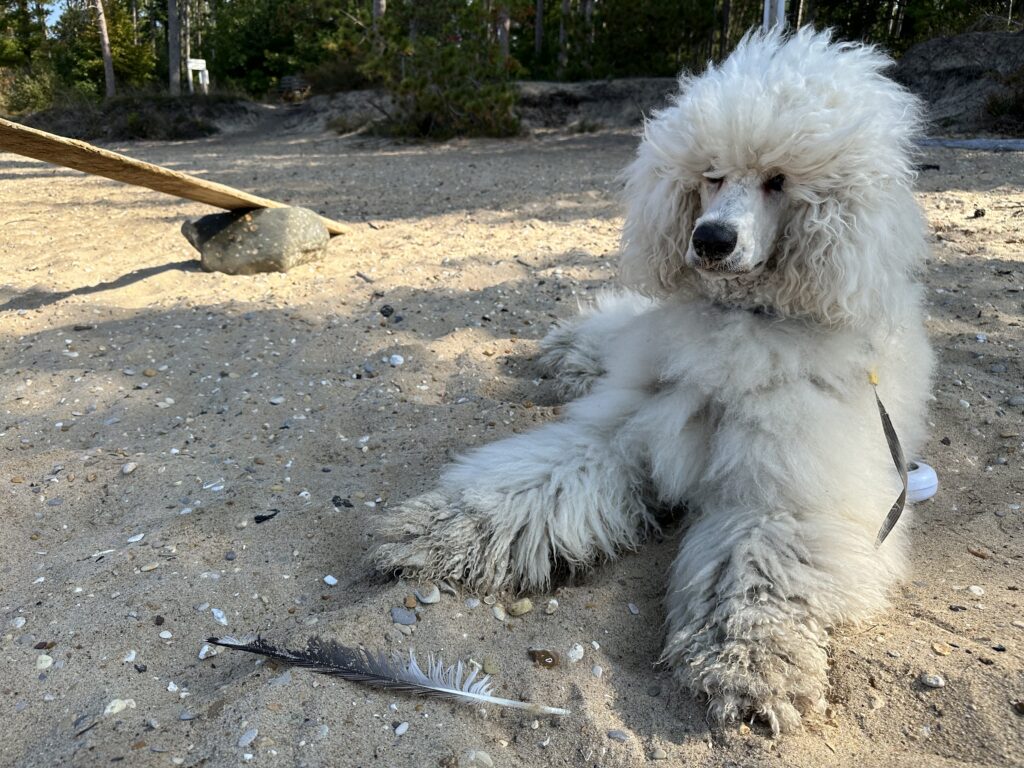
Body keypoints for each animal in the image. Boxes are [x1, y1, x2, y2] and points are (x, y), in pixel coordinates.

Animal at [374, 27, 933, 734]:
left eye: (779, 181)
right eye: (711, 174)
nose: (712, 239)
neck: (741, 319)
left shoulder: (781, 497)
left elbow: (757, 575)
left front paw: (747, 659)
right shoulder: (624, 429)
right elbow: (533, 483)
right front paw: (446, 528)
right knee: (612, 332)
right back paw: (566, 351)